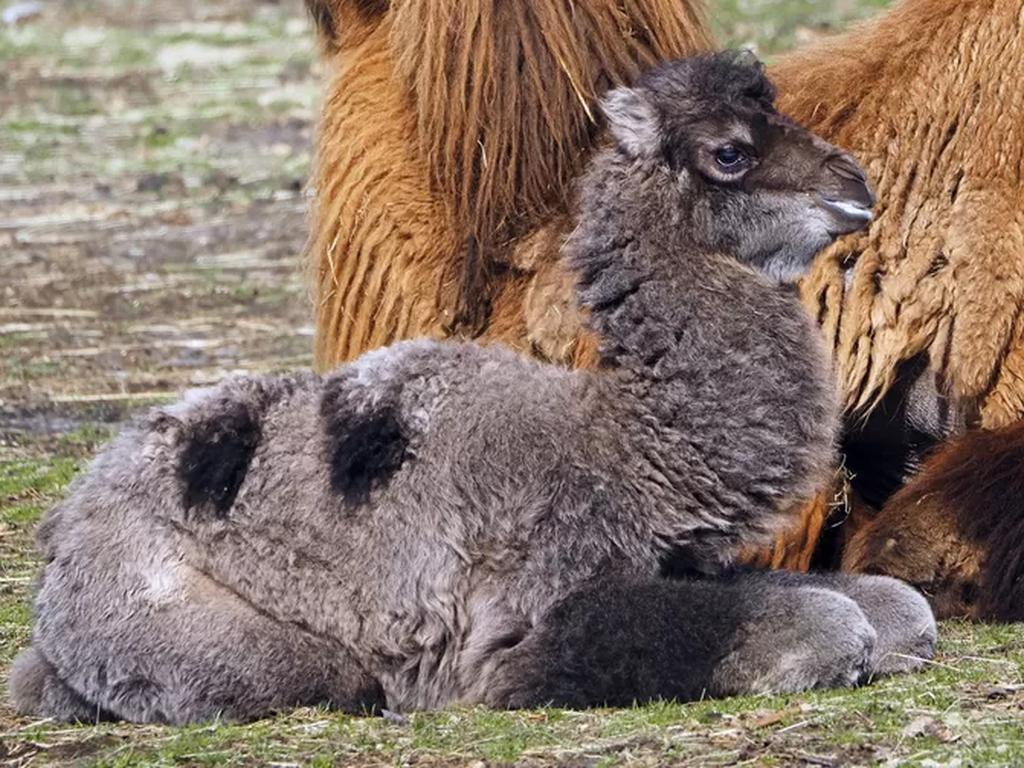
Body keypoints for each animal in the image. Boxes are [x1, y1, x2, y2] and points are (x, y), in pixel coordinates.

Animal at [9, 55, 937, 729]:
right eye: (731, 151)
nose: (857, 186)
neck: (627, 446)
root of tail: (65, 533)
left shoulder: (678, 559)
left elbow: (899, 604)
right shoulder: (511, 632)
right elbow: (814, 623)